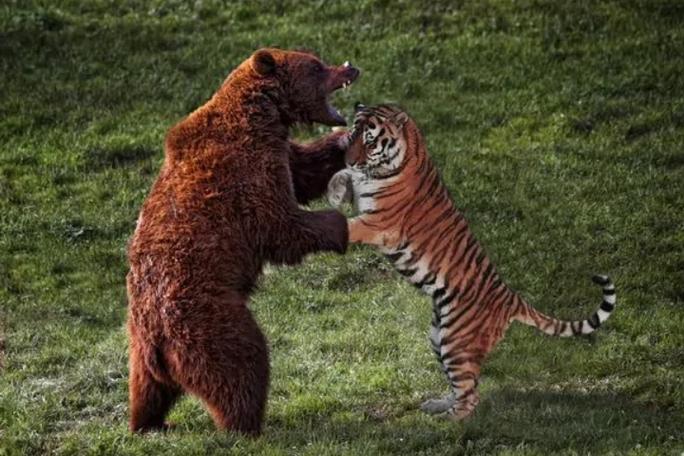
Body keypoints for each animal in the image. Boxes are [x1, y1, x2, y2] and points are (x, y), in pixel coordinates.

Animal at [327, 103, 617, 420]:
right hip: (437, 336)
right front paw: (335, 188)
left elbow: (348, 225)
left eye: (369, 142)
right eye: (352, 136)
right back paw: (438, 404)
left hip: (456, 341)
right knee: (462, 386)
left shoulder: (378, 223)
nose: (350, 159)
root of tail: (512, 298)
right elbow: (345, 179)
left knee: (470, 396)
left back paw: (446, 420)